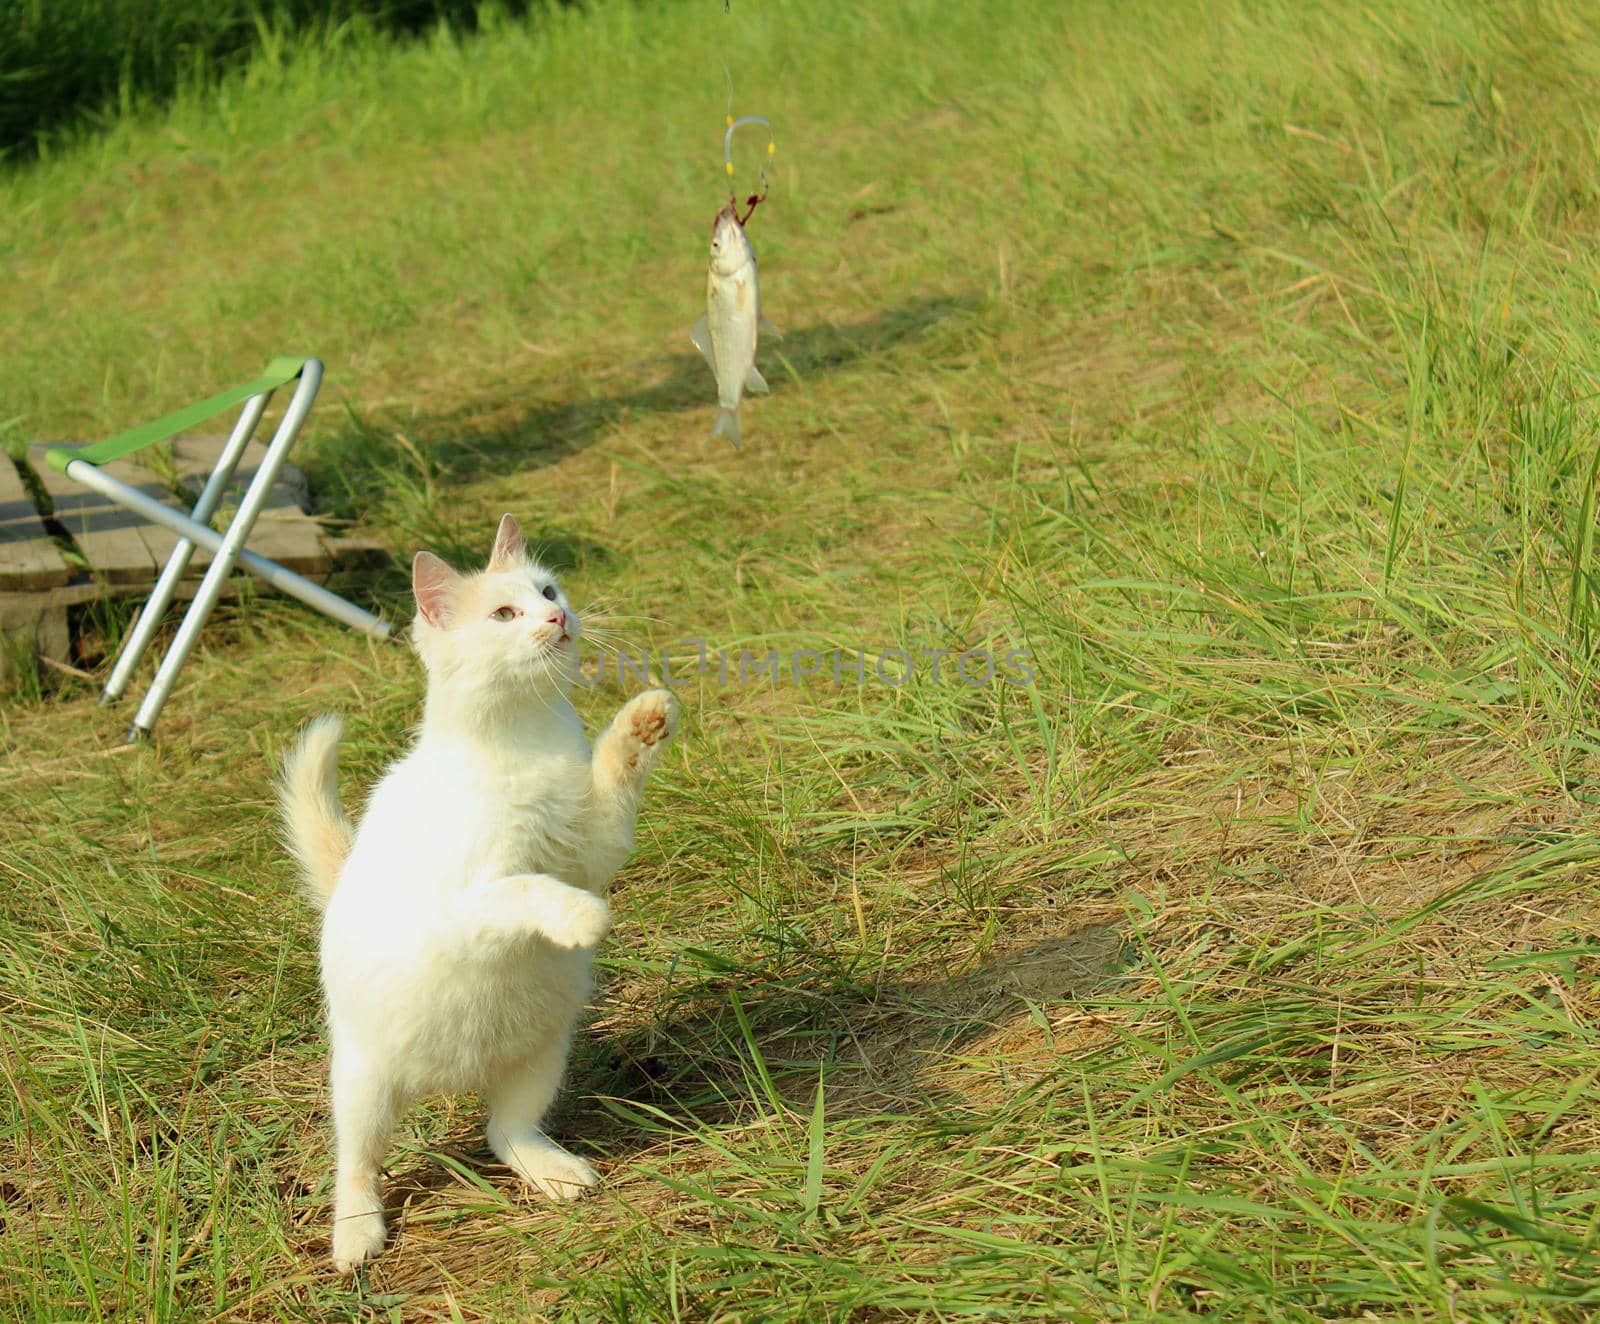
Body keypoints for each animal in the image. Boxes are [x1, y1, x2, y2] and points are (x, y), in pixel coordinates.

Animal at [276, 514, 675, 1272]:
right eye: (503, 614)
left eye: (547, 590)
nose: (558, 617)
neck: (526, 736)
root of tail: (455, 1076)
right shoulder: (465, 908)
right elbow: (526, 888)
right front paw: (580, 917)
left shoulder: (596, 845)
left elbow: (613, 776)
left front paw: (643, 719)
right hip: (362, 1086)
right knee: (356, 1164)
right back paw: (357, 1234)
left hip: (542, 1054)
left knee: (505, 1131)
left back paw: (554, 1171)